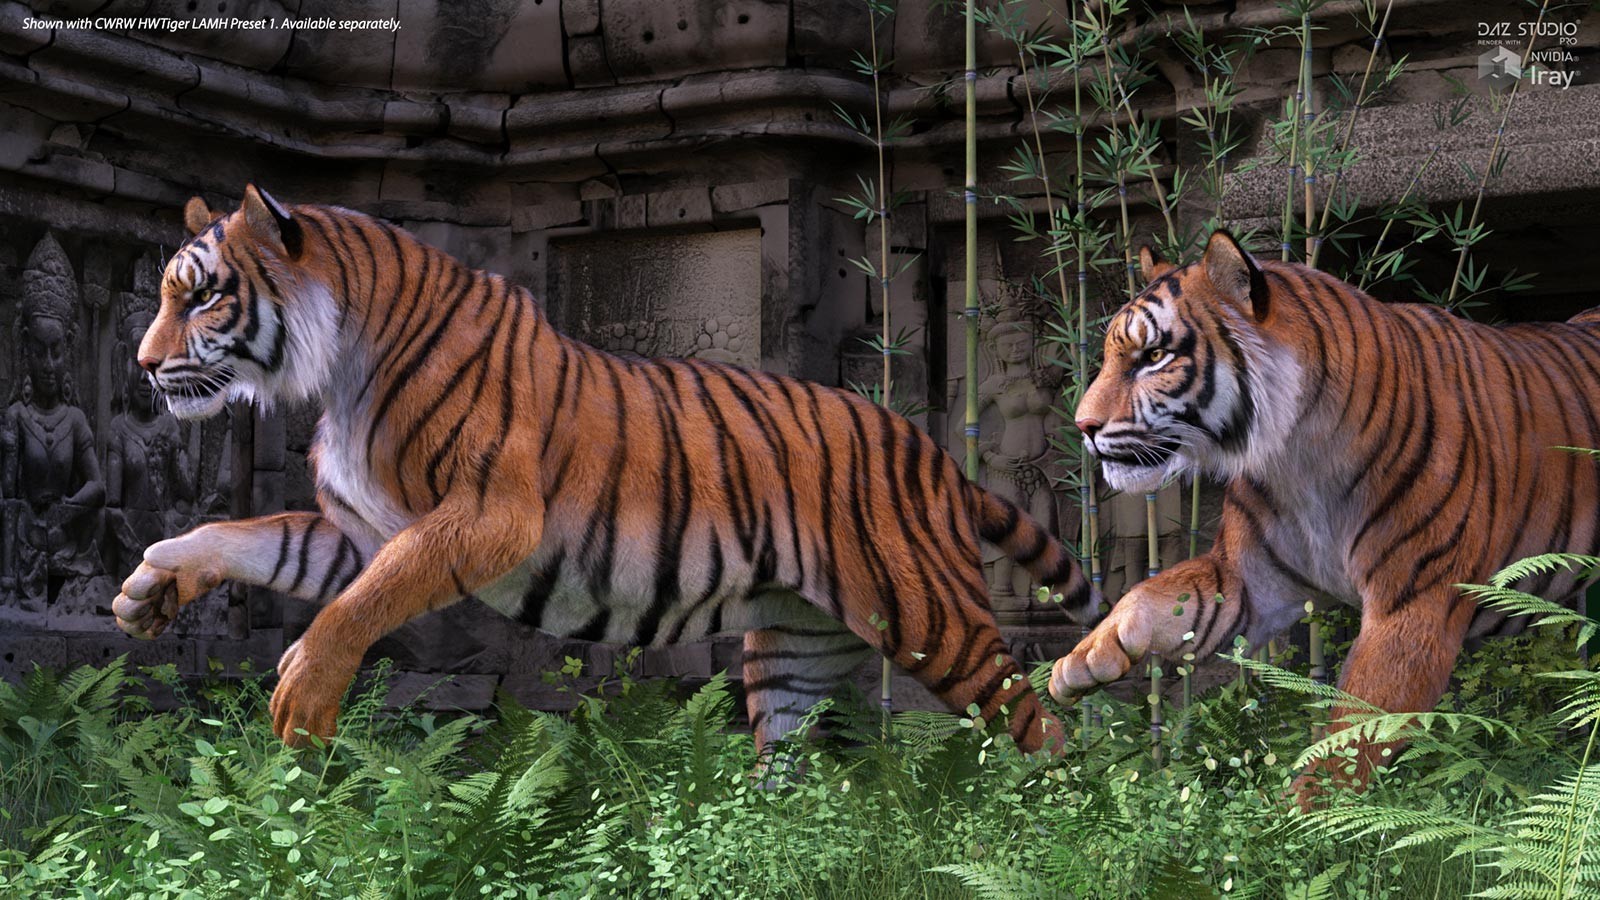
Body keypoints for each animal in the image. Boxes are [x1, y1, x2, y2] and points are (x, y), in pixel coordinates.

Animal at [110, 185, 1099, 755]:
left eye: (202, 296)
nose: (144, 366)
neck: (340, 364)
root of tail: (932, 452)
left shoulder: (487, 514)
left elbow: (353, 607)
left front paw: (303, 693)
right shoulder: (366, 532)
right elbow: (253, 539)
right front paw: (150, 587)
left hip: (936, 621)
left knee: (1041, 726)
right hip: (792, 653)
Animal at [1049, 230, 1600, 801]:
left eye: (1154, 355)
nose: (1082, 426)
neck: (1296, 457)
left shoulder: (1411, 608)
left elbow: (1356, 729)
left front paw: (1304, 812)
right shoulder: (1248, 579)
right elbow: (1157, 597)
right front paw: (1083, 661)